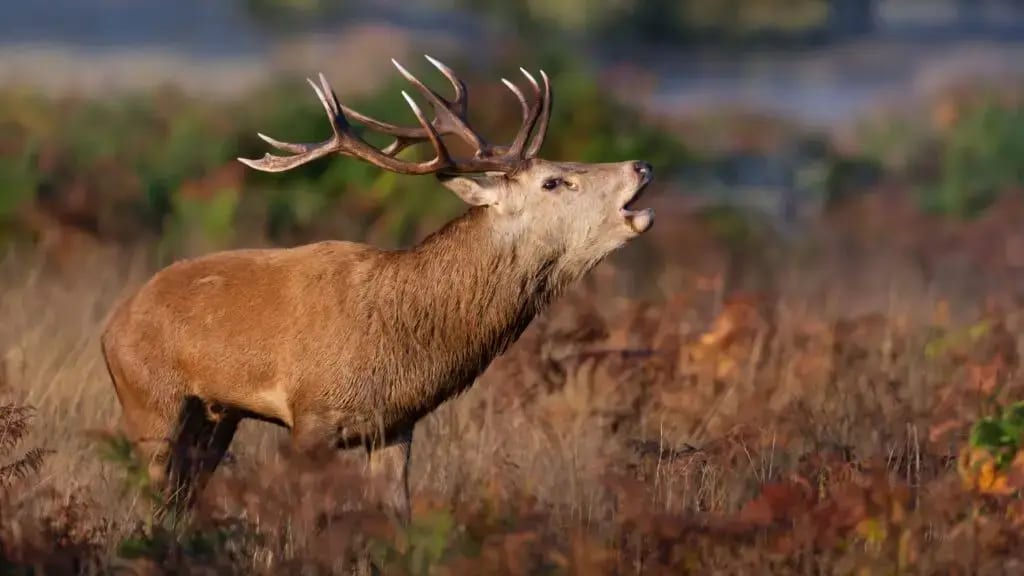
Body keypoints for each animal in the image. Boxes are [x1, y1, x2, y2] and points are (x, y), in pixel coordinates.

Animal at [100, 55, 655, 524]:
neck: (399, 346)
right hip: (150, 400)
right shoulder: (310, 415)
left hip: (215, 416)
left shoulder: (396, 426)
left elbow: (397, 518)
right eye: (554, 182)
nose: (641, 165)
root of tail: (111, 325)